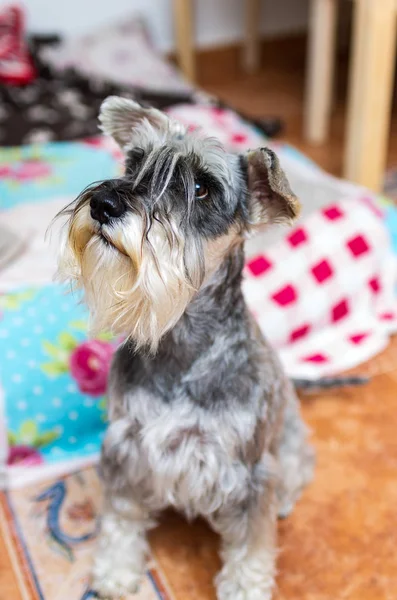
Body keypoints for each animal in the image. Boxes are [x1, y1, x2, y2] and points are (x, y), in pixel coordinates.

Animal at [57, 96, 314, 596]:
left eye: (201, 187)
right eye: (135, 161)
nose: (103, 203)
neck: (179, 345)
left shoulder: (248, 474)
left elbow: (251, 544)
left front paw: (246, 587)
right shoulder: (125, 448)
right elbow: (120, 517)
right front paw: (116, 571)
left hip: (288, 442)